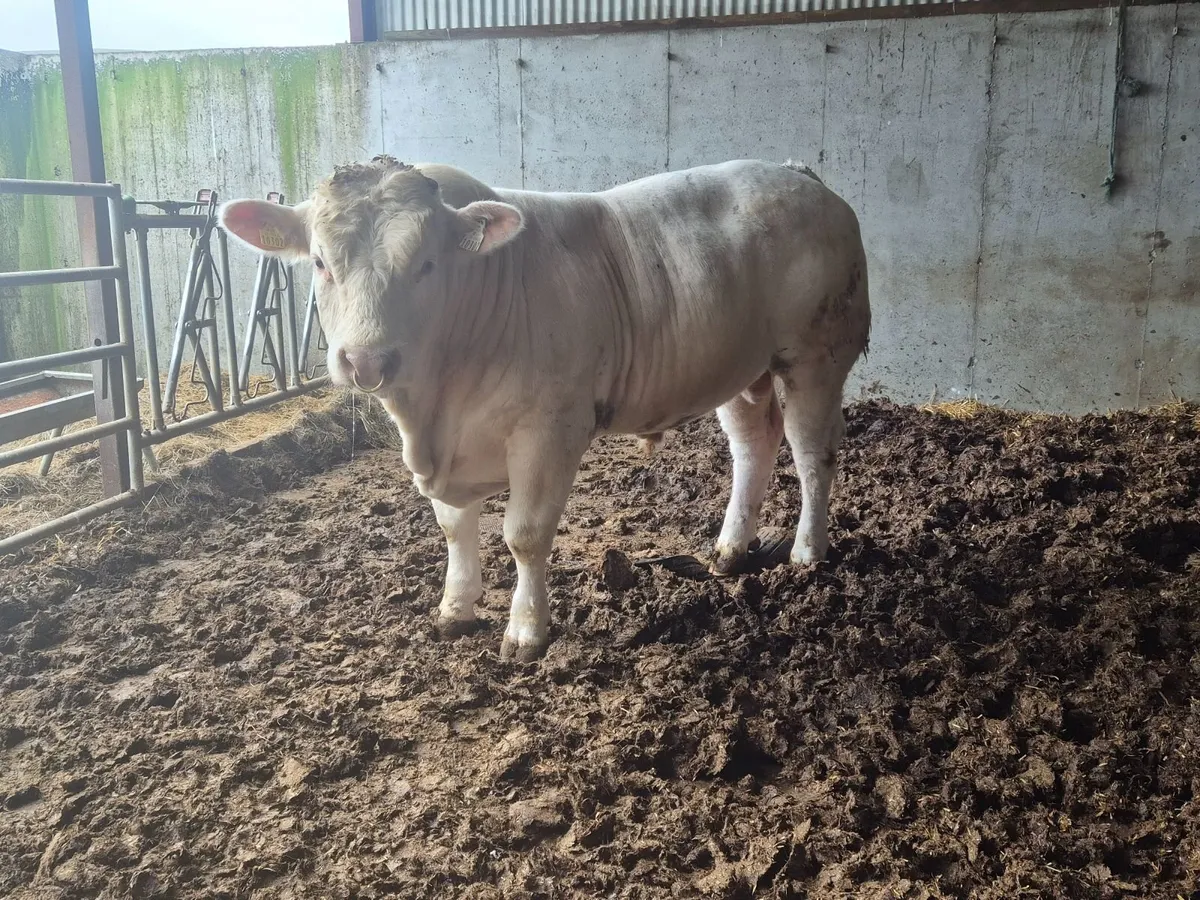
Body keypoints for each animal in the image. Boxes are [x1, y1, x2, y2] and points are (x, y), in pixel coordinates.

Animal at [220, 157, 871, 661]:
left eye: (426, 264)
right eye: (321, 262)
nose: (365, 359)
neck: (436, 408)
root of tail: (797, 174)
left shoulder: (549, 429)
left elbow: (525, 535)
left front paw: (526, 632)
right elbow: (453, 527)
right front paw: (456, 608)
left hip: (816, 356)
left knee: (812, 453)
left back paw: (808, 553)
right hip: (743, 368)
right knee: (752, 444)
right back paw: (730, 551)